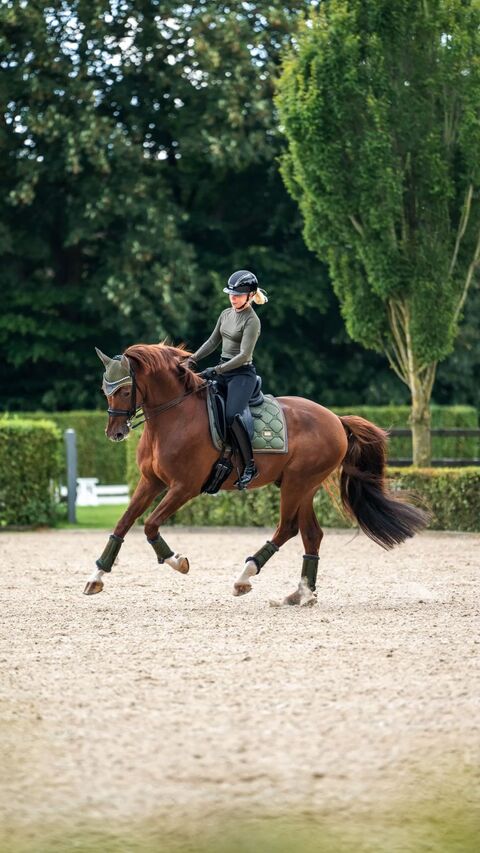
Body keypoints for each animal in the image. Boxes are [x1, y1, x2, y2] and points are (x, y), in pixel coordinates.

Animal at [84, 343, 429, 605]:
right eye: (105, 389)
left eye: (125, 390)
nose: (115, 433)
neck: (174, 416)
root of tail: (335, 419)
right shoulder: (150, 482)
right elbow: (123, 524)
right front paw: (96, 576)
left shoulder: (184, 487)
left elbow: (150, 525)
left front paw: (177, 561)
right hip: (303, 487)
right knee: (311, 535)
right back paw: (301, 593)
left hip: (297, 484)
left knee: (287, 529)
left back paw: (245, 577)